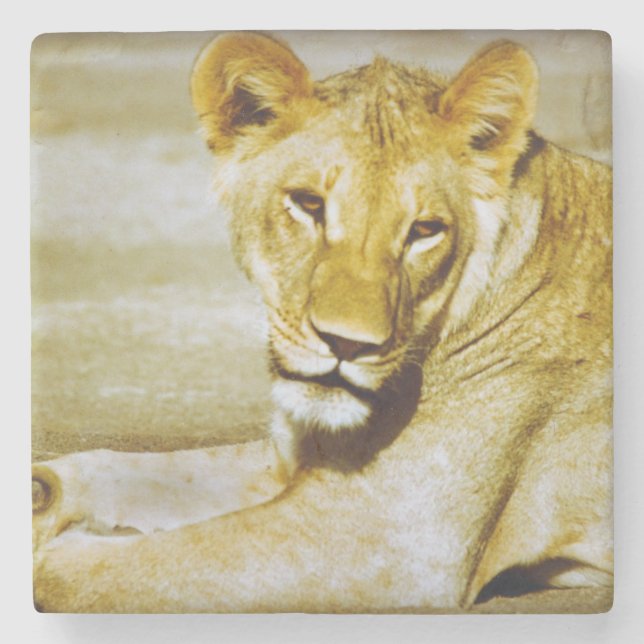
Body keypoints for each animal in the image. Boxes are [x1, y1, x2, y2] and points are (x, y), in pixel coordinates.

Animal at [32, 32, 613, 612]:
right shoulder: (288, 460)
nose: (347, 344)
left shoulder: (384, 540)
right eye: (309, 204)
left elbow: (121, 570)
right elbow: (136, 470)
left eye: (424, 230)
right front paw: (43, 496)